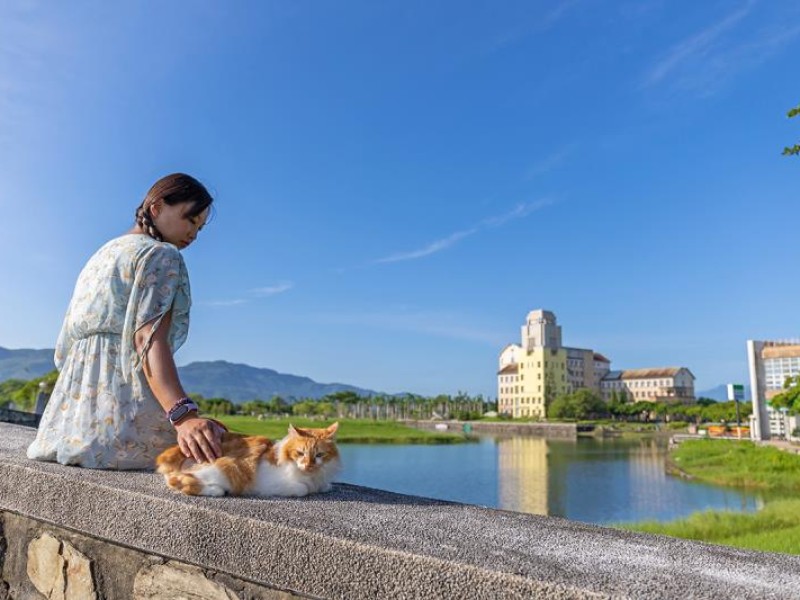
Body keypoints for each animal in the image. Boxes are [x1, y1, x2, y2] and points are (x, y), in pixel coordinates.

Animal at [156, 422, 340, 496]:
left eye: (319, 455)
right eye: (300, 453)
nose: (309, 465)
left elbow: (326, 486)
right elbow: (303, 488)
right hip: (228, 469)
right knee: (177, 481)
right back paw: (215, 490)